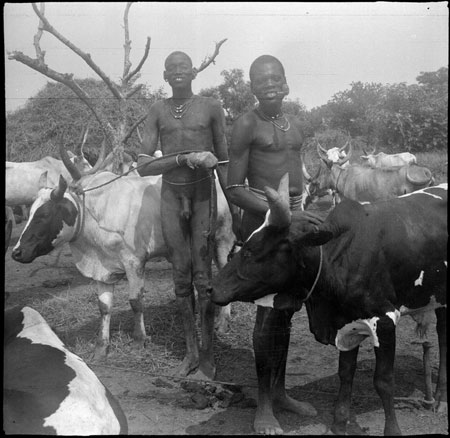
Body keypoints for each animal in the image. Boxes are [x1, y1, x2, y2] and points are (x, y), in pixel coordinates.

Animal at [10, 144, 236, 360]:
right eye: (31, 212)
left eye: (44, 215)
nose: (17, 252)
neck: (94, 214)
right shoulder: (101, 269)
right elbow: (104, 306)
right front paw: (101, 347)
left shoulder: (134, 262)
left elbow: (136, 302)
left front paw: (139, 340)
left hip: (223, 238)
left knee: (225, 270)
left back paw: (223, 321)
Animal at [212, 175, 446, 434]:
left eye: (252, 250)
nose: (213, 288)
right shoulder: (346, 322)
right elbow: (345, 373)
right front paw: (340, 421)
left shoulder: (385, 320)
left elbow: (383, 381)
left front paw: (392, 430)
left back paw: (440, 399)